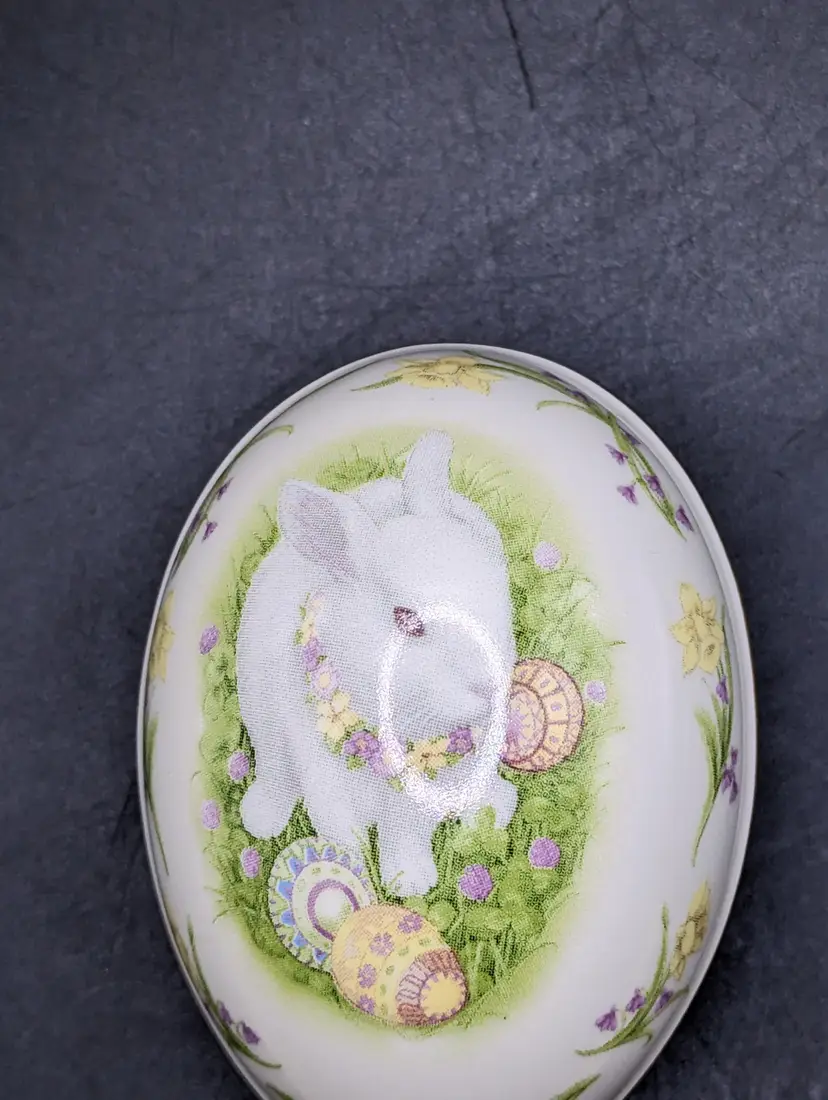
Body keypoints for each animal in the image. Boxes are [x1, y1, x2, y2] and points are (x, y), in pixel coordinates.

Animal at [236, 430, 518, 896]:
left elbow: (406, 837)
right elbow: (343, 841)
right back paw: (259, 818)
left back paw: (496, 806)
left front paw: (409, 884)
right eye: (406, 620)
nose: (488, 686)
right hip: (265, 728)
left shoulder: (420, 803)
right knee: (275, 773)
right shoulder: (325, 784)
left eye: (501, 591)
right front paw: (361, 893)